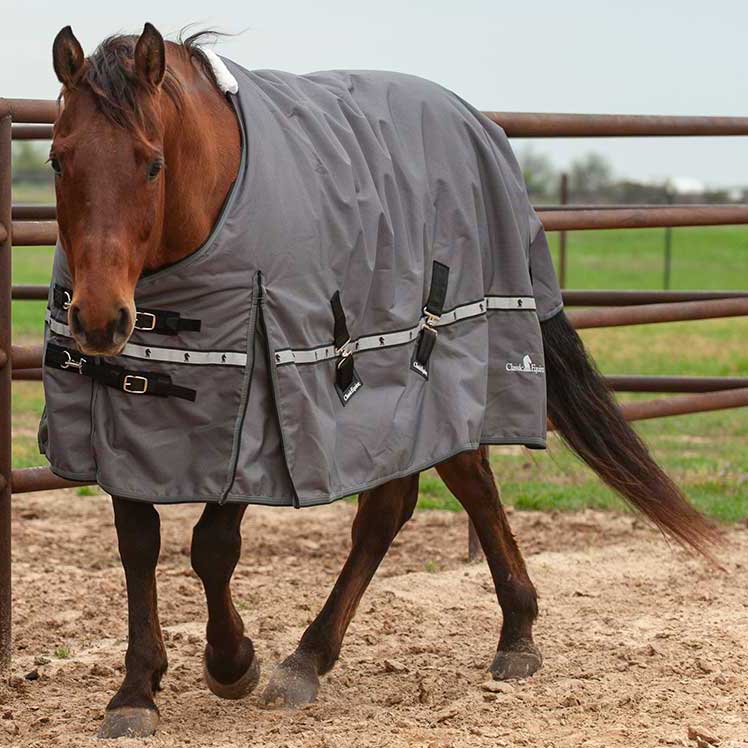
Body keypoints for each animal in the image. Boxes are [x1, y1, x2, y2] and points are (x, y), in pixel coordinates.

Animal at [48, 23, 719, 739]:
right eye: (59, 160)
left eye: (152, 163)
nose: (99, 319)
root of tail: (479, 124)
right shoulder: (124, 415)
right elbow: (138, 546)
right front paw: (135, 691)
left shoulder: (258, 408)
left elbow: (213, 546)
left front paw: (233, 663)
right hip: (413, 408)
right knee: (425, 498)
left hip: (432, 379)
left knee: (426, 502)